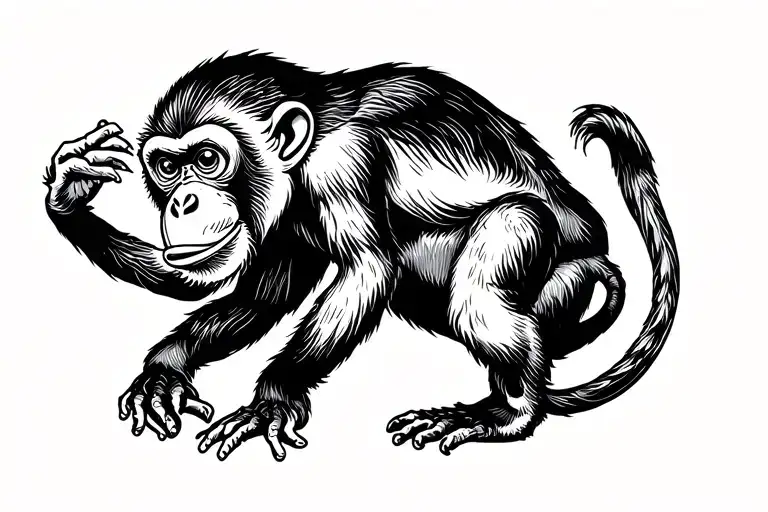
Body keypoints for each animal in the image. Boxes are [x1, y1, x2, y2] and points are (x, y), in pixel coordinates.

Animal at [44, 52, 679, 461]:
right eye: (167, 166)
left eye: (206, 159)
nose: (182, 200)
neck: (300, 159)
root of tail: (595, 255)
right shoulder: (282, 222)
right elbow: (253, 294)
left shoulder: (342, 166)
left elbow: (367, 272)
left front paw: (272, 400)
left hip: (554, 271)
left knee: (487, 275)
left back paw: (510, 412)